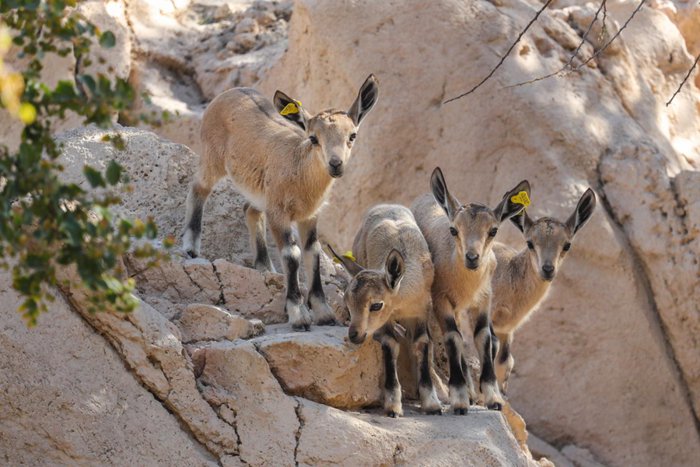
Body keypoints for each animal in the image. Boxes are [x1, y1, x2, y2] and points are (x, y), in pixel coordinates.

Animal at [182, 75, 379, 331]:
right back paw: (190, 247)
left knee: (250, 210)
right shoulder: (279, 214)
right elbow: (291, 254)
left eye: (352, 135)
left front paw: (324, 314)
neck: (299, 171)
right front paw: (298, 315)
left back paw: (265, 267)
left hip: (259, 192)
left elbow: (312, 253)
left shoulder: (309, 217)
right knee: (198, 188)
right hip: (212, 157)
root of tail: (229, 92)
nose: (336, 164)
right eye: (313, 138)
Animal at [329, 204, 442, 417]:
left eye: (376, 305)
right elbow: (390, 343)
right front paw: (393, 405)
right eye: (347, 301)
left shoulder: (422, 311)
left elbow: (422, 343)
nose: (355, 334)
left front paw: (432, 404)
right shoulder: (387, 319)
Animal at [412, 167, 530, 413]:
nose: (472, 258)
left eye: (493, 230)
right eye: (453, 230)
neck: (465, 285)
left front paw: (493, 398)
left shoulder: (484, 300)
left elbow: (484, 338)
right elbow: (453, 337)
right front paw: (459, 399)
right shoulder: (441, 299)